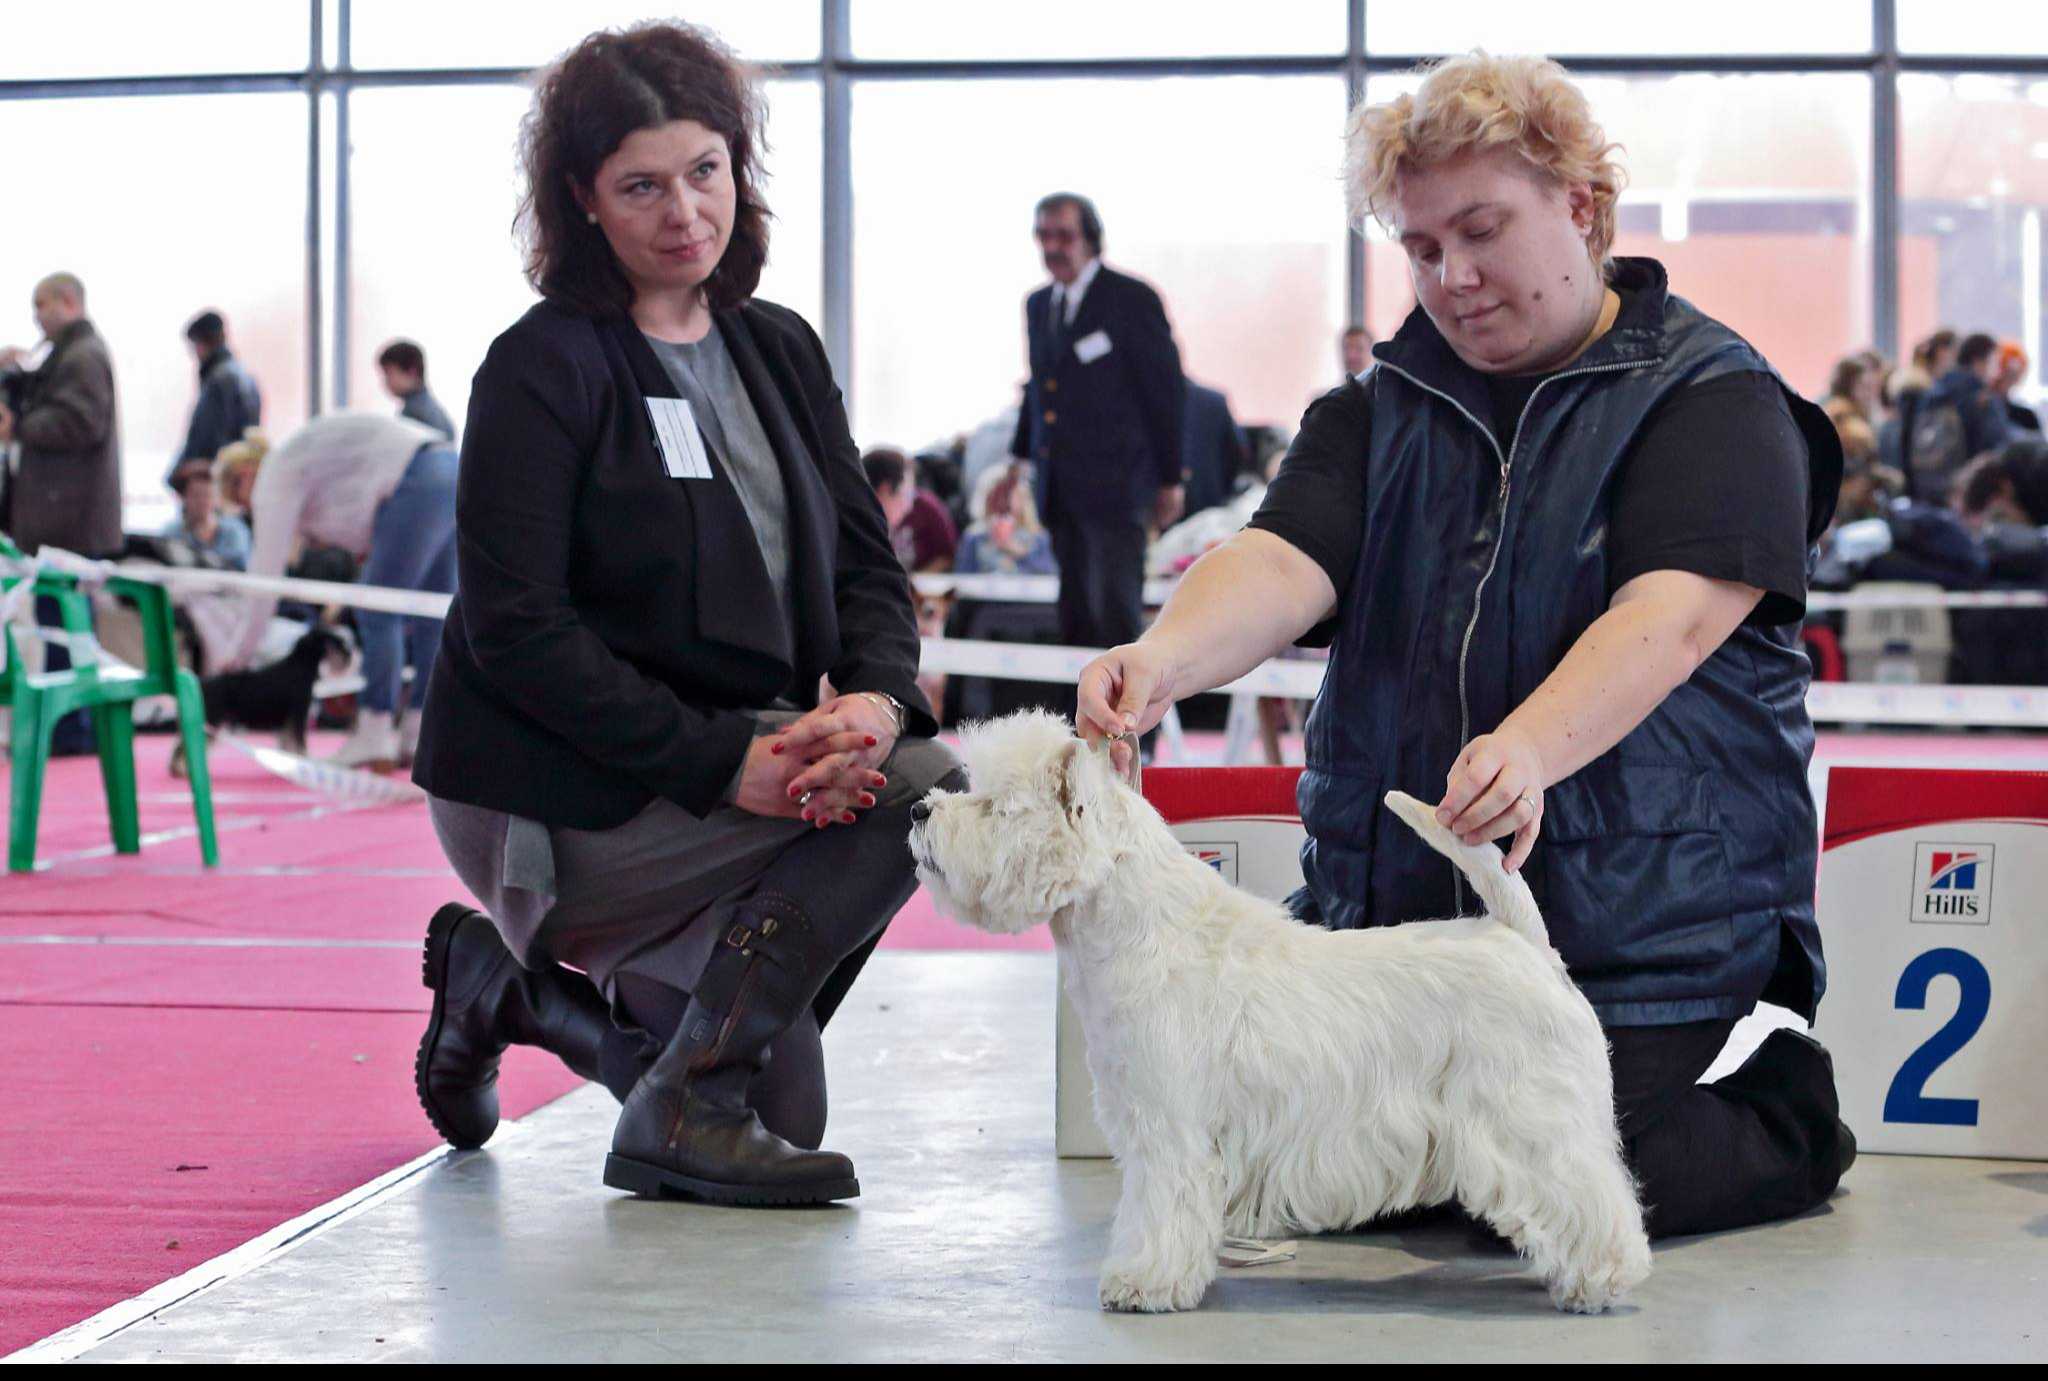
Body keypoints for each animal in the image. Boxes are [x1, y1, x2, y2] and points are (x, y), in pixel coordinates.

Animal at [909, 711, 1651, 1315]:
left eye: (993, 805)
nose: (919, 809)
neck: (1142, 929)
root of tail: (1523, 940)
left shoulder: (1168, 1129)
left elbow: (1158, 1210)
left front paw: (1143, 1282)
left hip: (1531, 1121)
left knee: (1591, 1195)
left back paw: (1603, 1279)